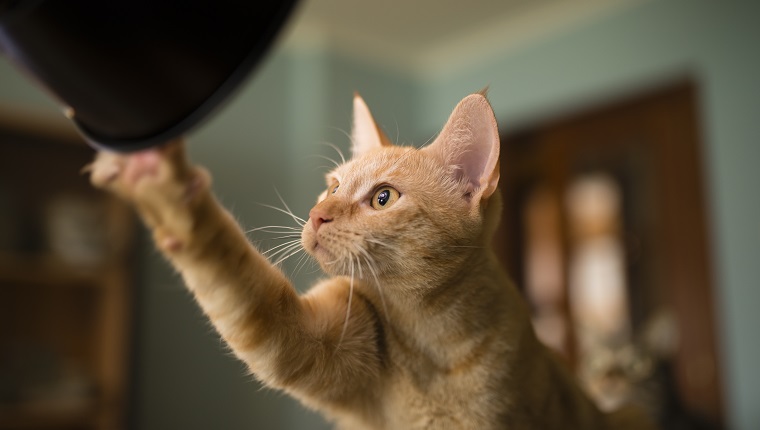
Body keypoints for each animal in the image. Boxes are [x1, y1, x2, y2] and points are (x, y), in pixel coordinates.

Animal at [86, 92, 652, 428]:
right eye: (332, 186)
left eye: (383, 198)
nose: (316, 215)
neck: (432, 337)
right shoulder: (301, 337)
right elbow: (231, 278)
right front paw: (161, 186)